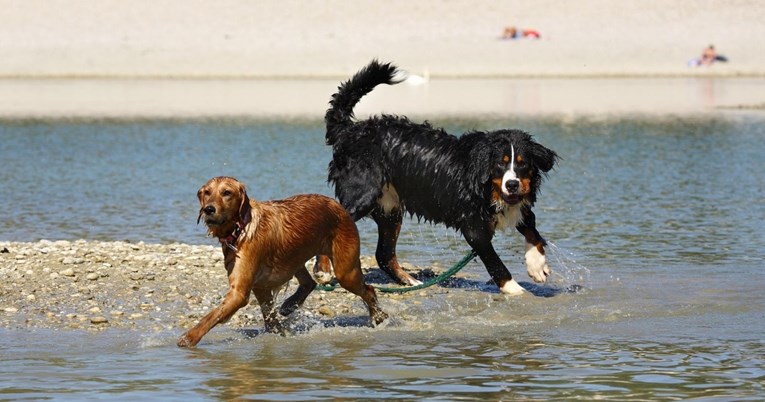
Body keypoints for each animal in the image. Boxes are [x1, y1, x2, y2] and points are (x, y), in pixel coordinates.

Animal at [179, 177, 388, 348]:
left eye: (226, 193)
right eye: (207, 192)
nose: (208, 209)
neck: (240, 229)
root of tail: (337, 205)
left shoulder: (239, 293)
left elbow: (211, 316)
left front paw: (189, 338)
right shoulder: (260, 286)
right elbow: (269, 317)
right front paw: (280, 332)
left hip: (346, 271)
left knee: (368, 289)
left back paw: (379, 317)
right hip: (296, 257)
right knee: (309, 283)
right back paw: (290, 304)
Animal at [314, 61, 560, 296]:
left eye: (522, 163)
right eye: (500, 163)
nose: (512, 184)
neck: (487, 187)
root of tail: (351, 130)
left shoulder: (517, 208)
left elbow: (533, 231)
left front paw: (537, 266)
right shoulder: (474, 228)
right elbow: (496, 263)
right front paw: (515, 289)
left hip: (390, 210)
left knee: (384, 255)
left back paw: (410, 281)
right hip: (364, 195)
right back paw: (323, 272)